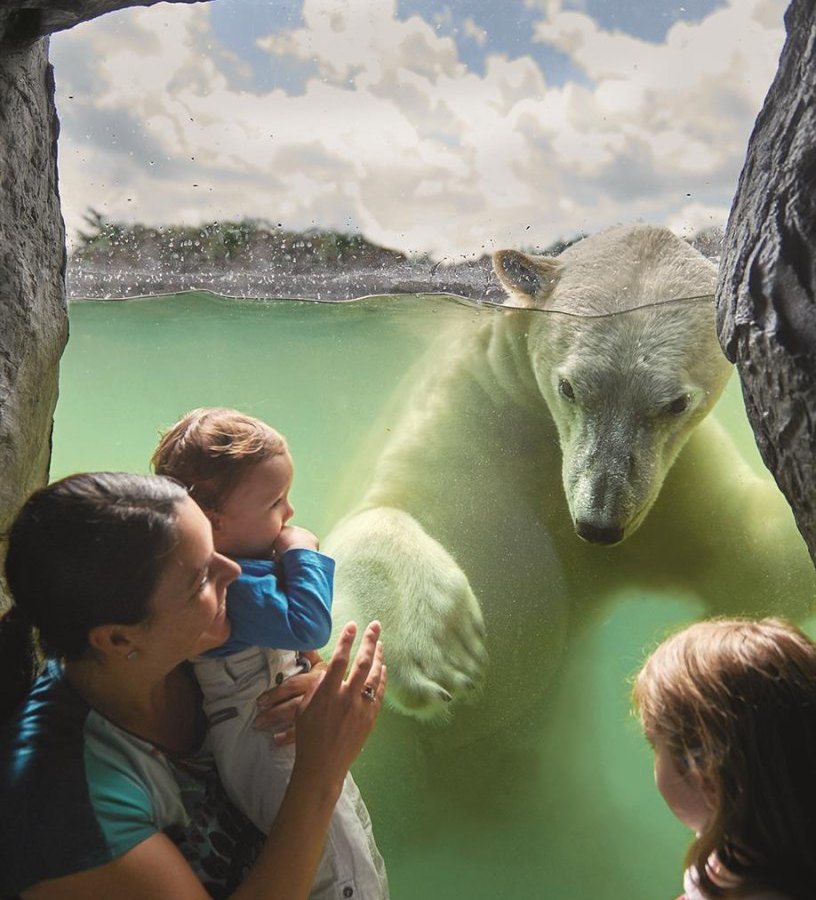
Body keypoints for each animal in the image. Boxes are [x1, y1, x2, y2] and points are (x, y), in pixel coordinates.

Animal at [322, 223, 812, 732]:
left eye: (676, 404)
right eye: (568, 387)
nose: (598, 524)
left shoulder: (678, 484)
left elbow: (752, 559)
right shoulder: (466, 417)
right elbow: (383, 509)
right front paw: (440, 653)